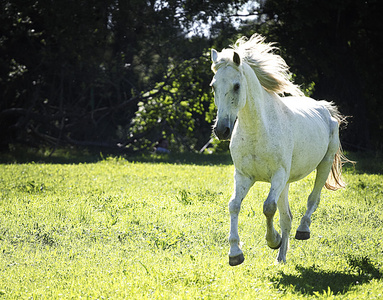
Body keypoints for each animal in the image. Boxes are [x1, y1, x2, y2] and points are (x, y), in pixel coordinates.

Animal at [212, 34, 350, 266]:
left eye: (237, 86)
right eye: (213, 86)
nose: (221, 130)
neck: (258, 129)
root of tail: (324, 107)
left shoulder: (277, 175)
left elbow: (268, 207)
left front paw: (272, 240)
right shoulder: (244, 176)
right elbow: (234, 205)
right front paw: (235, 253)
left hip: (323, 164)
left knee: (312, 200)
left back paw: (302, 231)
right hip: (286, 183)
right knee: (287, 217)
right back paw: (281, 258)